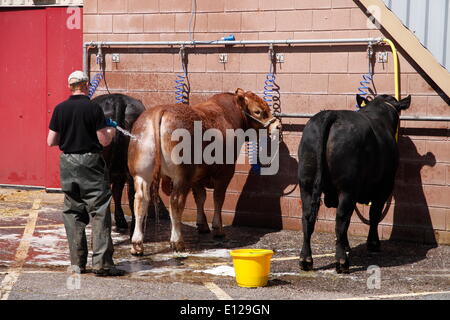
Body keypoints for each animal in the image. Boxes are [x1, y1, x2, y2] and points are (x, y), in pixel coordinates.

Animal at [127, 88, 282, 255]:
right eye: (258, 111)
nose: (277, 126)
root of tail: (160, 110)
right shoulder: (225, 173)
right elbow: (218, 198)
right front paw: (218, 228)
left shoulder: (197, 177)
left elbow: (200, 198)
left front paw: (202, 225)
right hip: (182, 176)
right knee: (175, 202)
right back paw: (177, 241)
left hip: (141, 175)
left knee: (140, 201)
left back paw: (137, 244)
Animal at [298, 94, 412, 272]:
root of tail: (332, 114)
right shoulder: (384, 187)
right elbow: (374, 214)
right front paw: (373, 243)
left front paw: (347, 245)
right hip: (347, 188)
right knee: (341, 219)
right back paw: (342, 262)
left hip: (306, 184)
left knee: (308, 217)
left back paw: (306, 259)